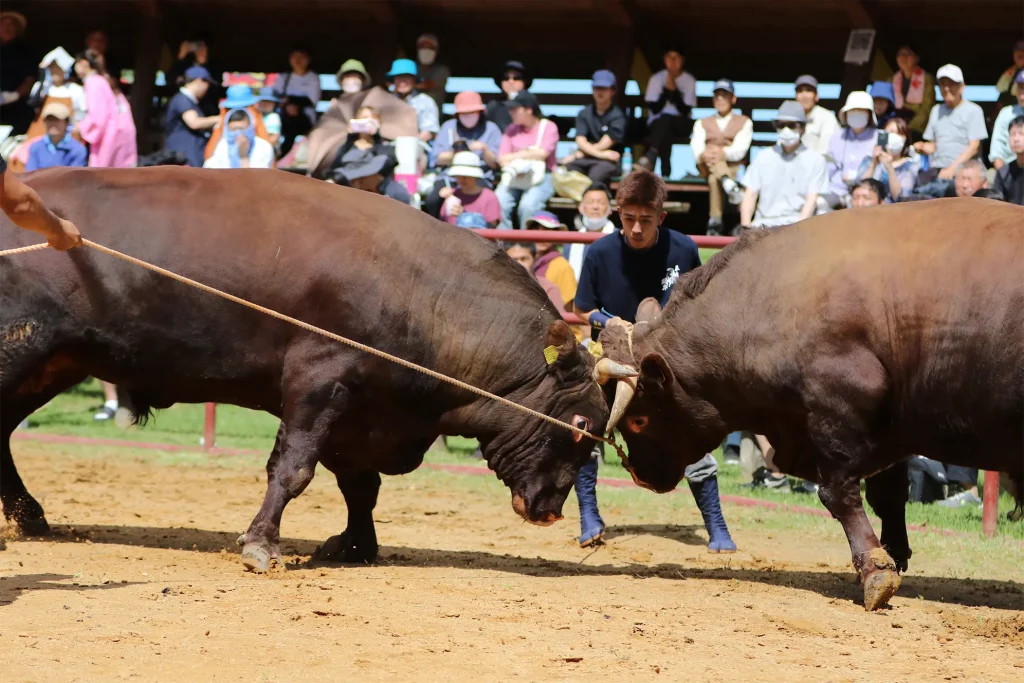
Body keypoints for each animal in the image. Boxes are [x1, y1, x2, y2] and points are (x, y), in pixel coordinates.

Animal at [2, 166, 638, 573]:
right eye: (582, 425)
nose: (550, 510)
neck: (424, 297)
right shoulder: (319, 385)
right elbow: (294, 471)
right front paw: (262, 545)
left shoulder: (364, 415)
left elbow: (362, 487)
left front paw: (357, 545)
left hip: (52, 363)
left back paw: (29, 517)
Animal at [598, 197, 1024, 610]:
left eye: (638, 420)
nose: (639, 475)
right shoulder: (889, 427)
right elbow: (888, 496)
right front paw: (892, 555)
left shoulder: (836, 411)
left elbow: (839, 493)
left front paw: (875, 571)